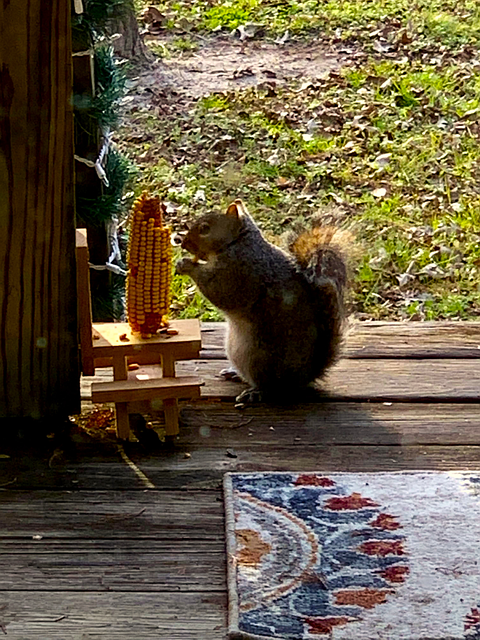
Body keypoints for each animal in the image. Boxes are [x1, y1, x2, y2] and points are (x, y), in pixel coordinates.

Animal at [175, 199, 350, 404]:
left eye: (205, 228)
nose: (183, 243)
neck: (237, 242)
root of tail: (303, 377)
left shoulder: (238, 271)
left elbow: (219, 290)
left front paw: (186, 264)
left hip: (257, 358)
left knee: (271, 387)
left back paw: (256, 392)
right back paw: (234, 373)